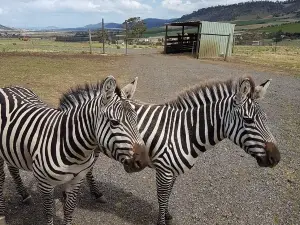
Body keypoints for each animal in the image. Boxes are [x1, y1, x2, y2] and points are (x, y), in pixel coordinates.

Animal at [0, 76, 149, 225]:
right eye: (114, 122)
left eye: (136, 120)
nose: (143, 161)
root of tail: (9, 87)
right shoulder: (45, 184)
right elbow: (48, 213)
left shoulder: (76, 181)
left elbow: (69, 209)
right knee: (2, 178)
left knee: (13, 168)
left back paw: (24, 195)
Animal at [83, 76, 280, 225]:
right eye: (248, 120)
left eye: (265, 118)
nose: (276, 158)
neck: (184, 132)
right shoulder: (164, 171)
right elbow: (162, 196)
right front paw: (162, 221)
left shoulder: (173, 171)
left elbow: (168, 194)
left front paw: (167, 214)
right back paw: (96, 193)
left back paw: (96, 193)